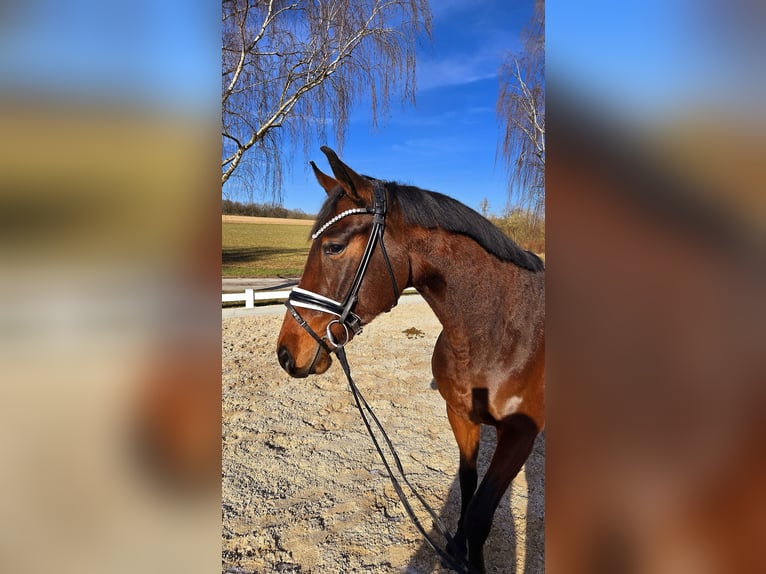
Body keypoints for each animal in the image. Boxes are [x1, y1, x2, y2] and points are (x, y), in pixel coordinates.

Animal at [278, 146, 544, 572]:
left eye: (333, 247)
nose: (286, 352)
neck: (497, 333)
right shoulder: (461, 416)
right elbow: (466, 488)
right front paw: (456, 548)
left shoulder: (520, 435)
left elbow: (481, 514)